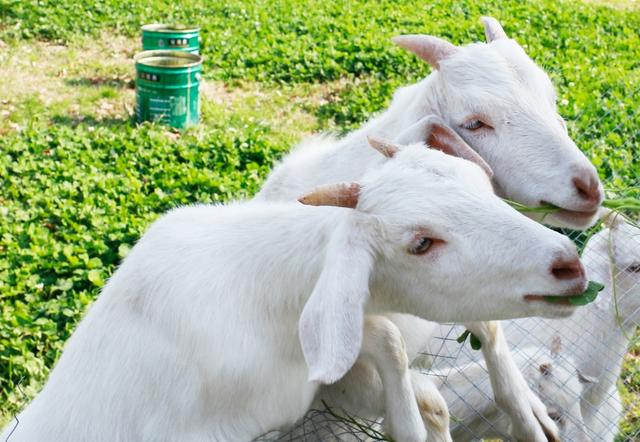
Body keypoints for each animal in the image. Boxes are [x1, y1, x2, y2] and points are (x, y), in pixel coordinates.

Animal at [1, 142, 592, 442]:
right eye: (421, 242)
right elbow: (401, 369)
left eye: (483, 187)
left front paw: (528, 413)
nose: (568, 265)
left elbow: (425, 377)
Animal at [255, 16, 600, 442]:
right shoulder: (343, 384)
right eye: (475, 123)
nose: (588, 186)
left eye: (552, 99)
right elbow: (429, 401)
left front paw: (529, 417)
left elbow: (489, 329)